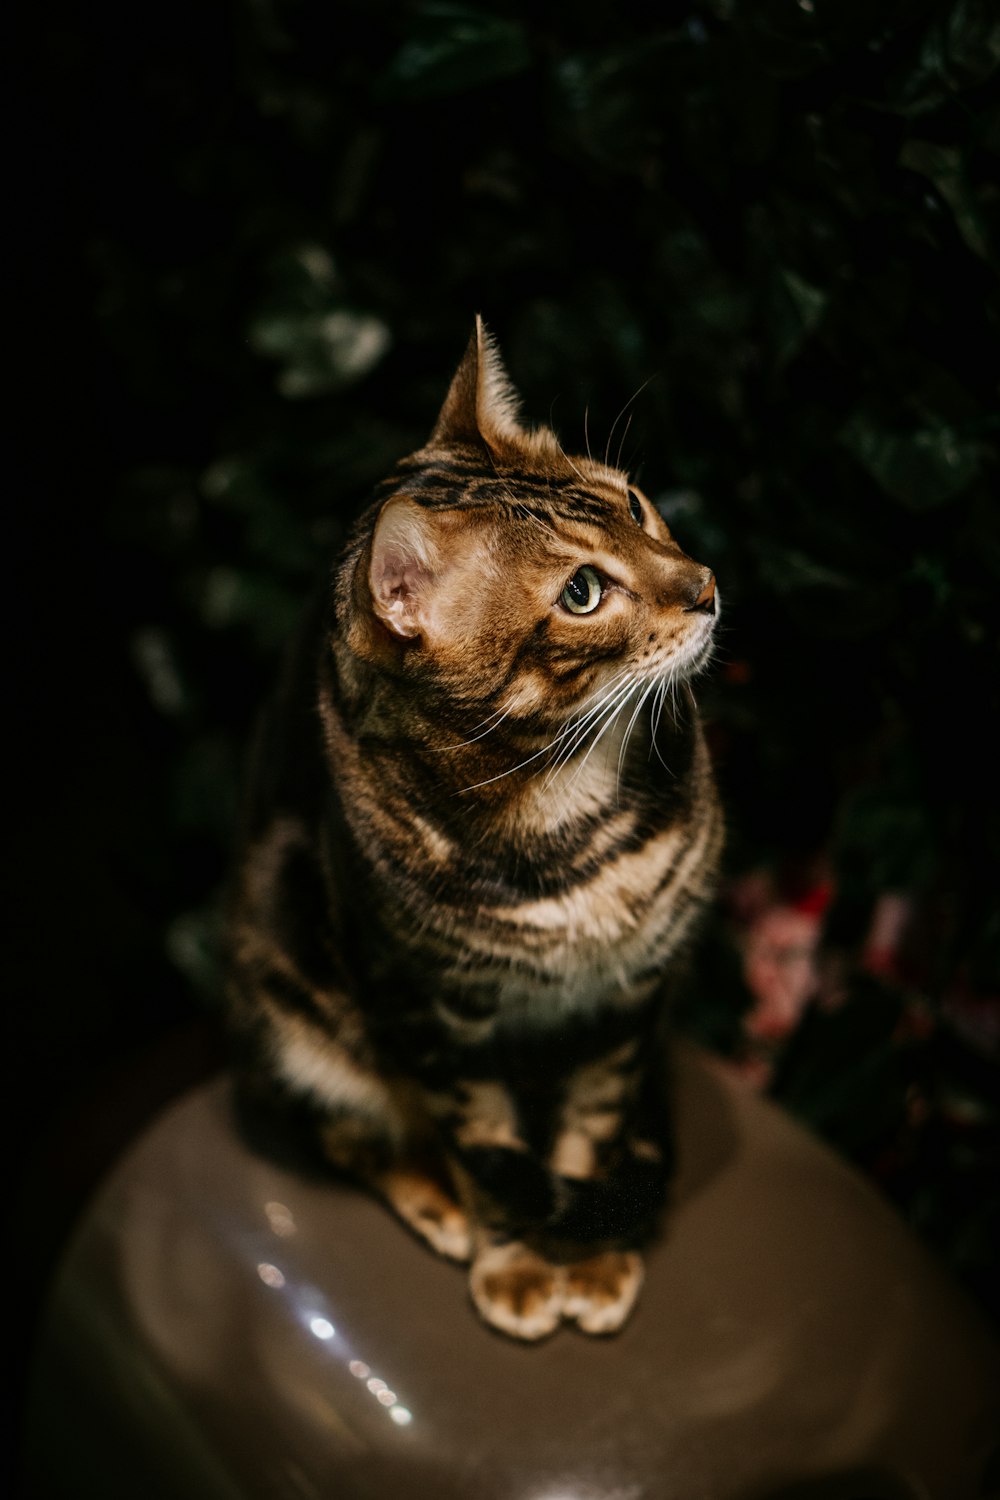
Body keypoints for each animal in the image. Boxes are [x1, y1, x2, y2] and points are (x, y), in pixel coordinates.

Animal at [226, 316, 722, 1338]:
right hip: (281, 962)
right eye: (582, 592)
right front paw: (517, 1258)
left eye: (637, 504)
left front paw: (587, 1256)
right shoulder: (430, 1011)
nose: (705, 583)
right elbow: (483, 1139)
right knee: (341, 1125)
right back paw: (437, 1202)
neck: (563, 807)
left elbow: (592, 1129)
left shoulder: (626, 1002)